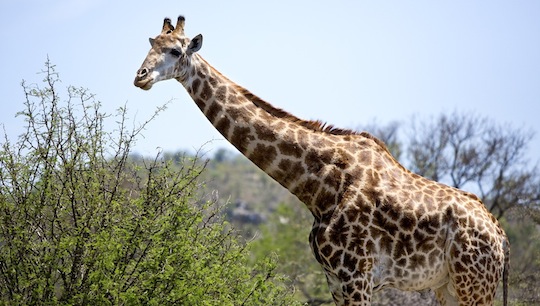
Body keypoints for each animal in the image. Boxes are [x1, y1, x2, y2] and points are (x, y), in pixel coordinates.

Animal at [133, 15, 508, 304]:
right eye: (150, 42)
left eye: (175, 50)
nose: (141, 76)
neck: (318, 186)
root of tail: (501, 237)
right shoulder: (335, 279)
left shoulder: (357, 275)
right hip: (449, 286)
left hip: (473, 284)